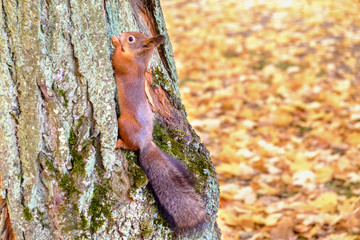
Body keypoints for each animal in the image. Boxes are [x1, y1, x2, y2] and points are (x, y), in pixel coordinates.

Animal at [109, 31, 205, 231]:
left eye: (131, 39)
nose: (122, 34)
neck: (138, 60)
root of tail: (146, 143)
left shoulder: (127, 67)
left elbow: (117, 60)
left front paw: (115, 42)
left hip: (125, 122)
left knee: (131, 145)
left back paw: (120, 143)